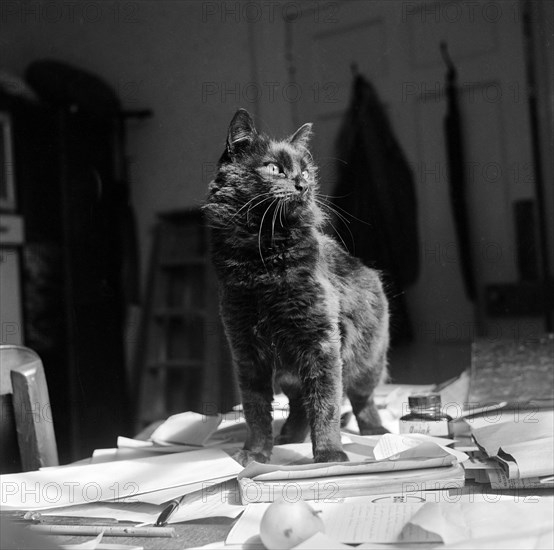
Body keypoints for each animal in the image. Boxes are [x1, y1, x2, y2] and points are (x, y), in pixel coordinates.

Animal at [201, 109, 386, 466]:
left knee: (361, 399)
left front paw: (329, 454)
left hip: (367, 361)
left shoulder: (322, 343)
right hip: (289, 373)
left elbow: (326, 405)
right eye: (274, 169)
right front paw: (256, 454)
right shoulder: (246, 349)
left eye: (305, 171)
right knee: (300, 404)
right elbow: (256, 410)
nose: (303, 184)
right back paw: (289, 437)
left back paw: (375, 433)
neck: (264, 255)